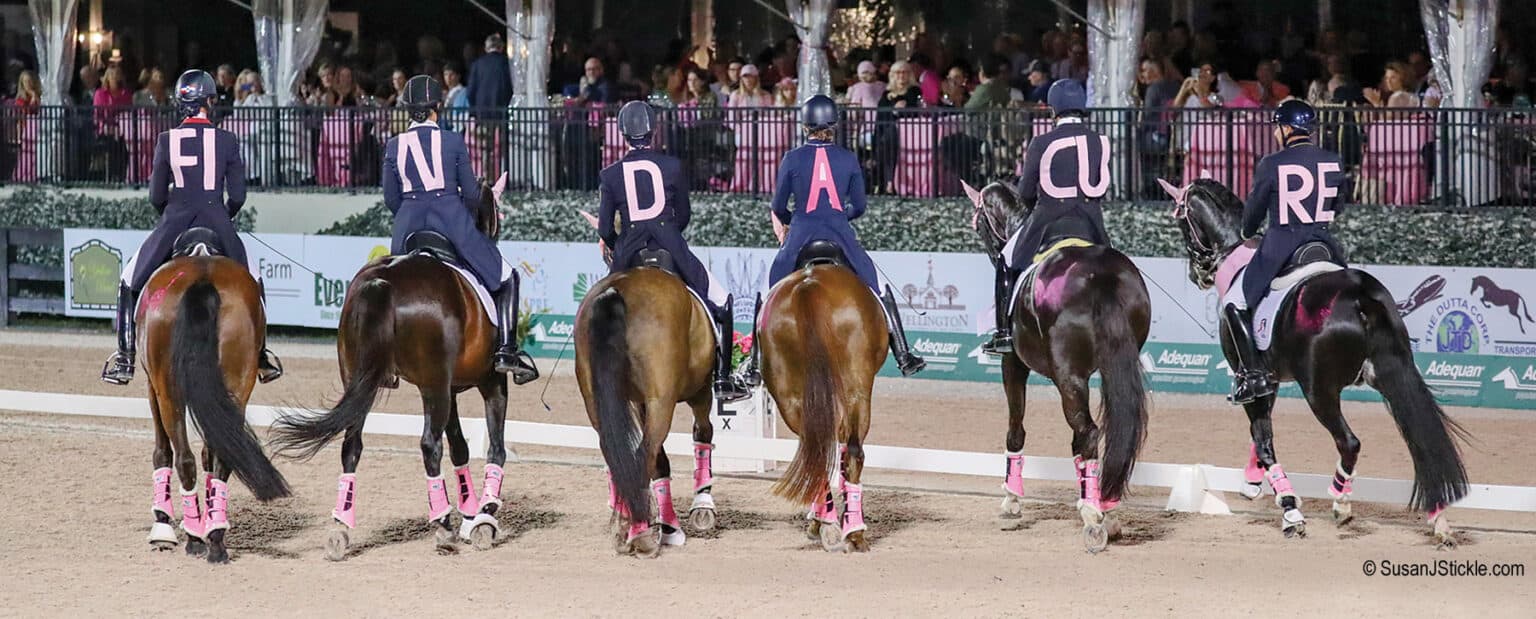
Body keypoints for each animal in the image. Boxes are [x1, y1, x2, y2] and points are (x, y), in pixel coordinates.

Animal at [138, 230, 290, 565]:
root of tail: (202, 278)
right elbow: (210, 454)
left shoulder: (152, 387)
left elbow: (162, 452)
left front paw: (163, 526)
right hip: (235, 387)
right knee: (222, 455)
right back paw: (216, 539)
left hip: (167, 390)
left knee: (183, 457)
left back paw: (195, 538)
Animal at [270, 175, 516, 562]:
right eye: (496, 212)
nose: (492, 233)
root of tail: (381, 281)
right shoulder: (489, 382)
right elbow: (495, 448)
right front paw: (485, 517)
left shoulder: (448, 388)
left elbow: (460, 446)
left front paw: (470, 513)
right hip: (433, 386)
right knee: (429, 445)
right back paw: (441, 526)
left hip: (363, 380)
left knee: (352, 445)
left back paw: (341, 529)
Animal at [577, 254, 724, 559]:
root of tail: (616, 290)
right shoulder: (700, 392)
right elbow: (703, 433)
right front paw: (702, 506)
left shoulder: (641, 402)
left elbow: (662, 463)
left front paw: (670, 527)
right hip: (663, 401)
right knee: (644, 454)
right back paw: (641, 534)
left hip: (597, 401)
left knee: (619, 453)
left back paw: (627, 525)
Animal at [964, 182, 1148, 556]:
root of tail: (1099, 276)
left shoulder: (1013, 362)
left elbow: (1015, 429)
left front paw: (1011, 500)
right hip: (1114, 366)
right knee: (1105, 431)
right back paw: (1106, 507)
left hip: (1068, 376)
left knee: (1088, 432)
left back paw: (1093, 517)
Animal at [1167, 176, 1468, 546]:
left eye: (1182, 221)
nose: (1199, 275)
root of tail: (1360, 296)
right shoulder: (1269, 377)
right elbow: (1260, 433)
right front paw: (1253, 483)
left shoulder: (1249, 377)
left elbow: (1263, 438)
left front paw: (1289, 510)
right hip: (1392, 375)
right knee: (1421, 439)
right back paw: (1439, 521)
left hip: (1318, 390)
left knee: (1350, 442)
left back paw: (1341, 503)